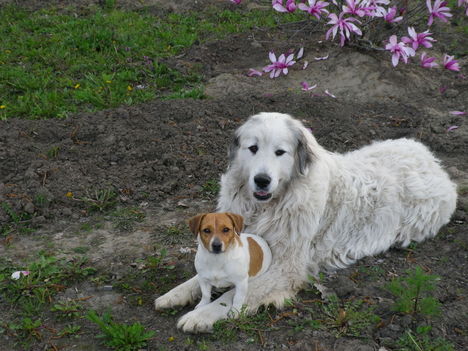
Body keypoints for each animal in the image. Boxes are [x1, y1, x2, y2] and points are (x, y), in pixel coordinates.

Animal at [154, 112, 458, 332]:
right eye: (253, 148)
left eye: (280, 152)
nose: (262, 180)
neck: (268, 207)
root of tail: (431, 159)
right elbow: (199, 276)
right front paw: (175, 294)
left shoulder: (286, 267)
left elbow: (230, 297)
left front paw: (202, 315)